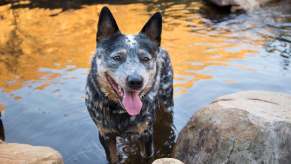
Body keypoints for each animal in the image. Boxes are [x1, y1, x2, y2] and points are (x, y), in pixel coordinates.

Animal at [85, 6, 175, 163]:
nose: (135, 81)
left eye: (145, 58)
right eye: (117, 57)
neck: (120, 111)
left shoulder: (146, 134)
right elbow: (113, 158)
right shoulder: (105, 135)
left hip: (167, 102)